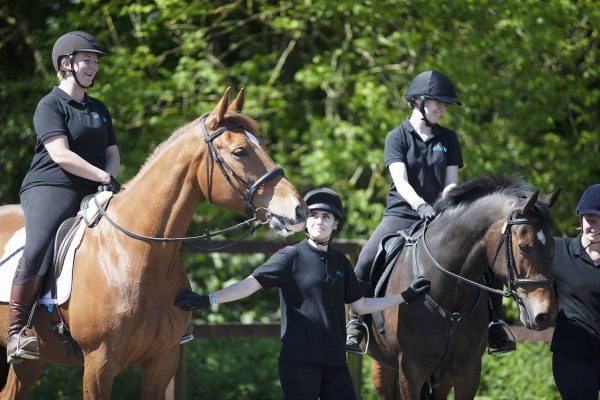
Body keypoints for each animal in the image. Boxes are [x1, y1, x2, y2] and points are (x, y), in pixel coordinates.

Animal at [0, 89, 308, 398]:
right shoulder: (99, 364)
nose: (299, 210)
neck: (136, 255)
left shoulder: (163, 361)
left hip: (31, 363)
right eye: (240, 151)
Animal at [368, 177, 560, 400]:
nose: (545, 315)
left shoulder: (468, 372)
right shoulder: (410, 372)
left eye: (553, 246)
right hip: (384, 369)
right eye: (523, 247)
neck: (447, 291)